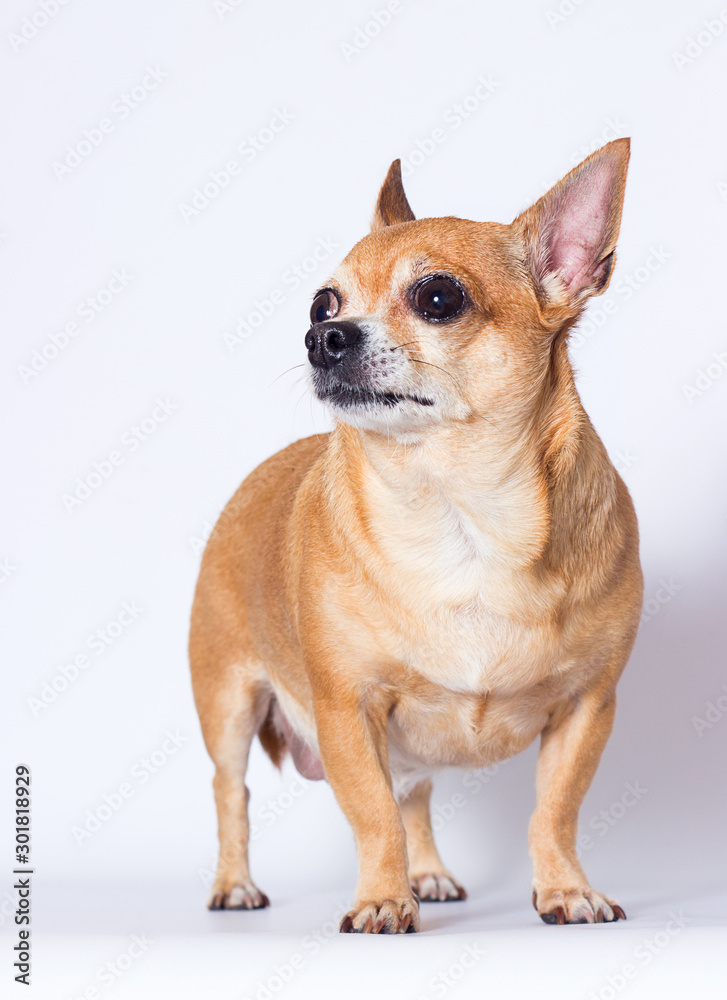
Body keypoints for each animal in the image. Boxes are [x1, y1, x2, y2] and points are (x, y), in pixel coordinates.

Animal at [191, 137, 644, 932]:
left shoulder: (586, 708)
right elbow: (371, 814)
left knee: (415, 793)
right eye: (322, 302)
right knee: (233, 793)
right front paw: (380, 899)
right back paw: (236, 884)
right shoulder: (349, 710)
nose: (321, 336)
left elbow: (553, 811)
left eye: (438, 298)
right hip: (229, 705)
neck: (455, 511)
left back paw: (427, 873)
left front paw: (565, 889)